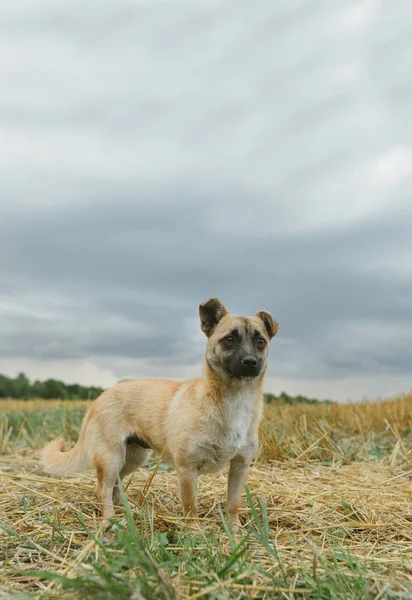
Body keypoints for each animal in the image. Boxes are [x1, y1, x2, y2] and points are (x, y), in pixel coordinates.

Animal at [41, 298, 280, 524]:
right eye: (229, 339)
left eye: (260, 342)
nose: (250, 362)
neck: (234, 400)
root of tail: (98, 399)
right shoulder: (186, 470)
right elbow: (191, 509)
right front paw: (195, 533)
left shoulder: (240, 467)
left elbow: (233, 504)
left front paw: (235, 530)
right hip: (111, 458)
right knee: (102, 489)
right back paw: (110, 520)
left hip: (133, 458)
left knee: (115, 486)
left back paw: (128, 512)